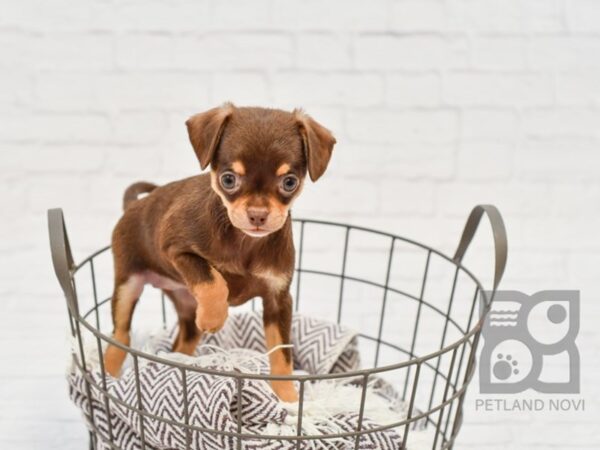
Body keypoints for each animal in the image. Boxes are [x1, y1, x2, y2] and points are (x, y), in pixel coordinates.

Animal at [104, 104, 338, 400]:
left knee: (183, 343)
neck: (244, 241)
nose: (258, 215)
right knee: (120, 334)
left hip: (186, 306)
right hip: (128, 285)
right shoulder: (177, 250)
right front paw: (215, 316)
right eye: (228, 179)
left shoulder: (278, 300)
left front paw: (287, 398)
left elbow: (281, 355)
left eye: (289, 182)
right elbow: (212, 280)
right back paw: (107, 374)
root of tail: (131, 207)